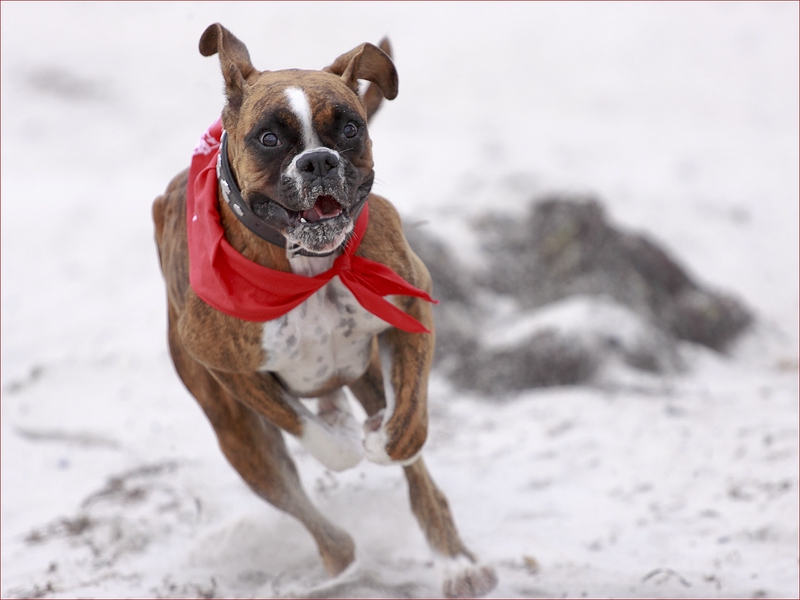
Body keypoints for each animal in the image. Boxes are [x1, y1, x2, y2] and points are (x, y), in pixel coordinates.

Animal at [152, 22, 496, 596]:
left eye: (350, 129)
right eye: (269, 138)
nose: (318, 161)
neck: (308, 268)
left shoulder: (412, 309)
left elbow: (409, 427)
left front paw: (381, 439)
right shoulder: (229, 368)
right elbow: (311, 431)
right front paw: (346, 442)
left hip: (367, 370)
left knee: (415, 473)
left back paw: (457, 562)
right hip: (238, 435)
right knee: (309, 511)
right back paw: (342, 562)